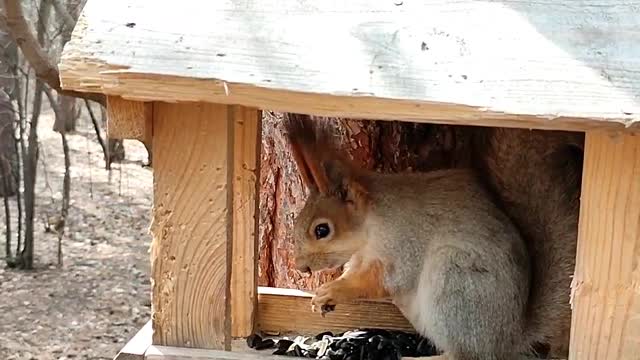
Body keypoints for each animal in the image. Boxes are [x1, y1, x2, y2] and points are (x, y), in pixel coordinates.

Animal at [284, 113, 556, 360]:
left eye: (322, 230)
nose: (301, 267)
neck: (371, 226)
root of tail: (511, 337)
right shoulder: (361, 256)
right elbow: (355, 271)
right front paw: (324, 294)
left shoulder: (404, 241)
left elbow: (382, 280)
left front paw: (335, 290)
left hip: (455, 282)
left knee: (467, 354)